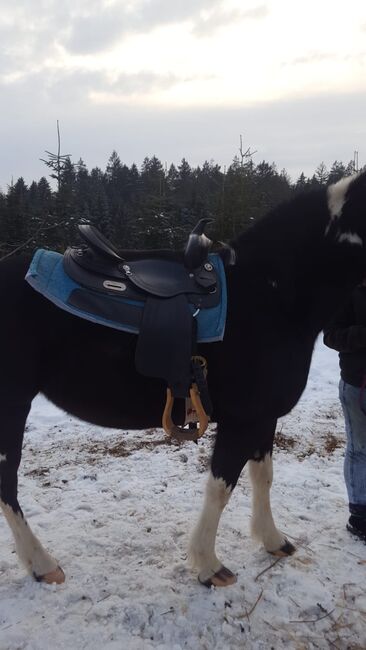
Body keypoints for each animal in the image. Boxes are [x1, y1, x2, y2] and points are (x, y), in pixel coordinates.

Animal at [0, 170, 366, 584]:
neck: (272, 292)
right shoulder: (242, 420)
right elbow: (221, 487)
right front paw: (209, 565)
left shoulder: (264, 417)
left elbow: (263, 476)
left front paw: (272, 539)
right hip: (11, 405)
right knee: (6, 485)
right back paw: (42, 564)